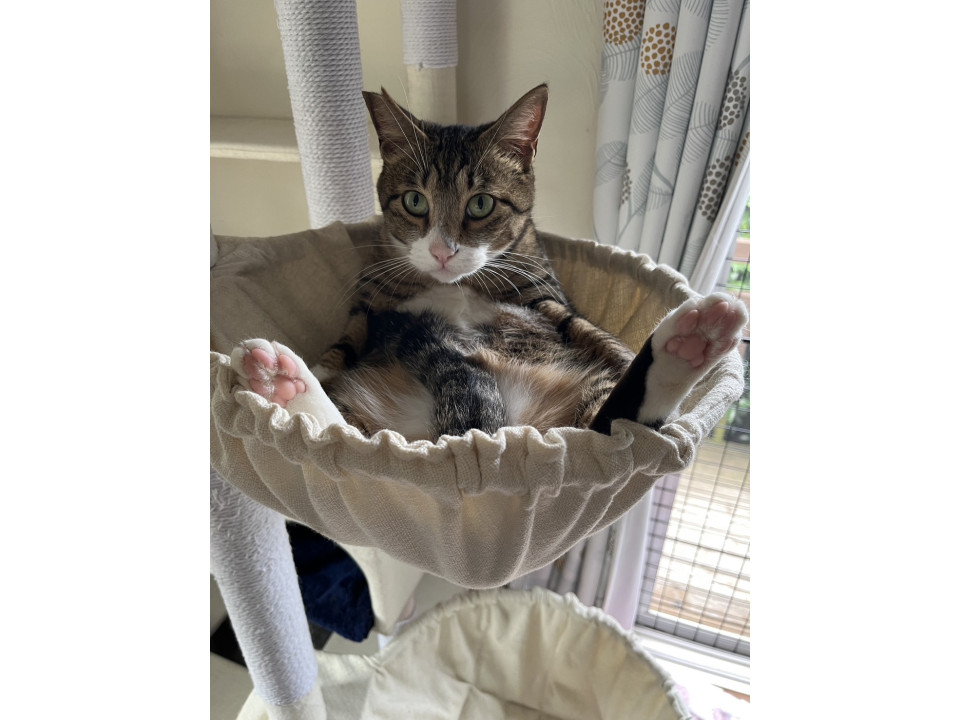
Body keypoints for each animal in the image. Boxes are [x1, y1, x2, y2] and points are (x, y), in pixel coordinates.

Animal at [233, 84, 748, 441]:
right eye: (415, 201)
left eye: (480, 204)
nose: (442, 251)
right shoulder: (368, 309)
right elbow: (338, 354)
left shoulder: (551, 304)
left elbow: (603, 342)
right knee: (334, 427)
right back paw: (281, 382)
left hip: (588, 383)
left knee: (613, 422)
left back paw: (690, 341)